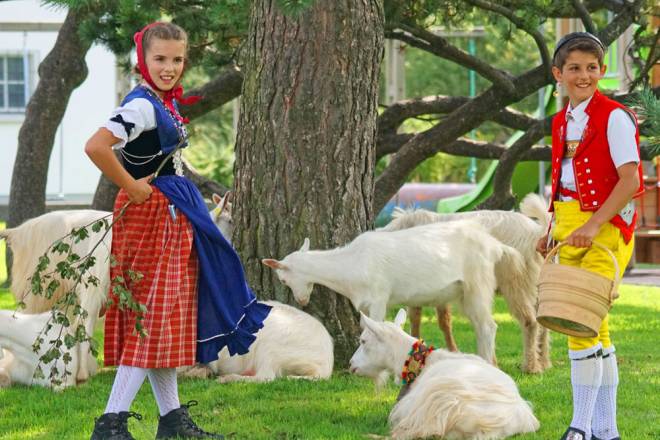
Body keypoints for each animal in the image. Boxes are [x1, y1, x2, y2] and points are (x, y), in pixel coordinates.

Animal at [262, 219, 524, 364]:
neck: (351, 264)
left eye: (283, 279)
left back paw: (488, 362)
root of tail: (494, 245)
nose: (302, 300)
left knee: (487, 326)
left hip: (478, 283)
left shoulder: (379, 297)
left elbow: (373, 327)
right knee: (481, 326)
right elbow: (364, 325)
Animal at [378, 194, 556, 372]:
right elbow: (443, 321)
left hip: (516, 282)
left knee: (529, 321)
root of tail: (537, 232)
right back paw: (544, 363)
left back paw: (531, 367)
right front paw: (452, 351)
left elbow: (417, 319)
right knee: (542, 322)